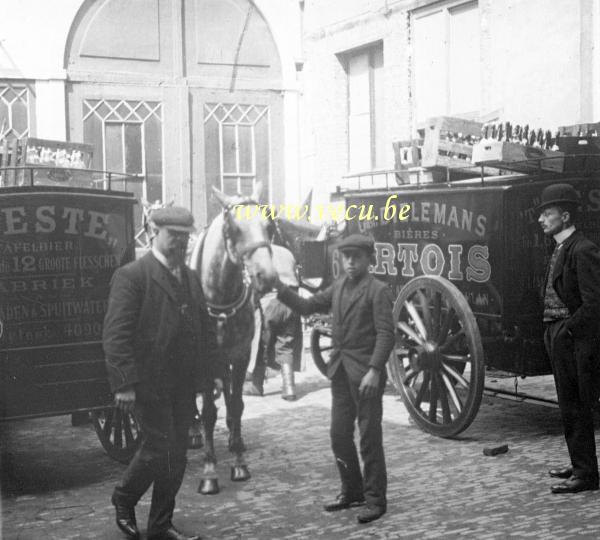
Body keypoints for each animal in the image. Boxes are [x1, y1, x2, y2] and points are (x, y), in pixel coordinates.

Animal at [188, 185, 276, 494]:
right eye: (234, 229)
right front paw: (209, 471)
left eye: (269, 227)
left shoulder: (239, 355)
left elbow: (236, 406)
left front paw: (238, 462)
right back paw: (193, 433)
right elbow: (208, 412)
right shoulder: (202, 360)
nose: (267, 276)